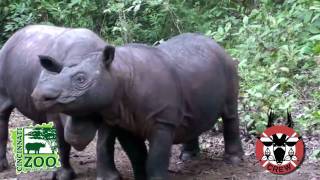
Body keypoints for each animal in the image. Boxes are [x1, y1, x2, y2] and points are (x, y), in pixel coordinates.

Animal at [0, 24, 110, 179]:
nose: (77, 138)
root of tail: (12, 37)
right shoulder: (53, 108)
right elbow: (60, 140)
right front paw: (63, 175)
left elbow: (104, 143)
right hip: (3, 60)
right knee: (3, 111)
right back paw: (3, 167)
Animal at [31, 33, 244, 179]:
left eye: (81, 79)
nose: (39, 96)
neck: (118, 74)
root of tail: (215, 43)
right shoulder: (123, 121)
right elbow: (137, 155)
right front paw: (141, 177)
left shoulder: (162, 120)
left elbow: (156, 159)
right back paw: (187, 157)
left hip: (228, 64)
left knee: (230, 112)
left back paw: (233, 160)